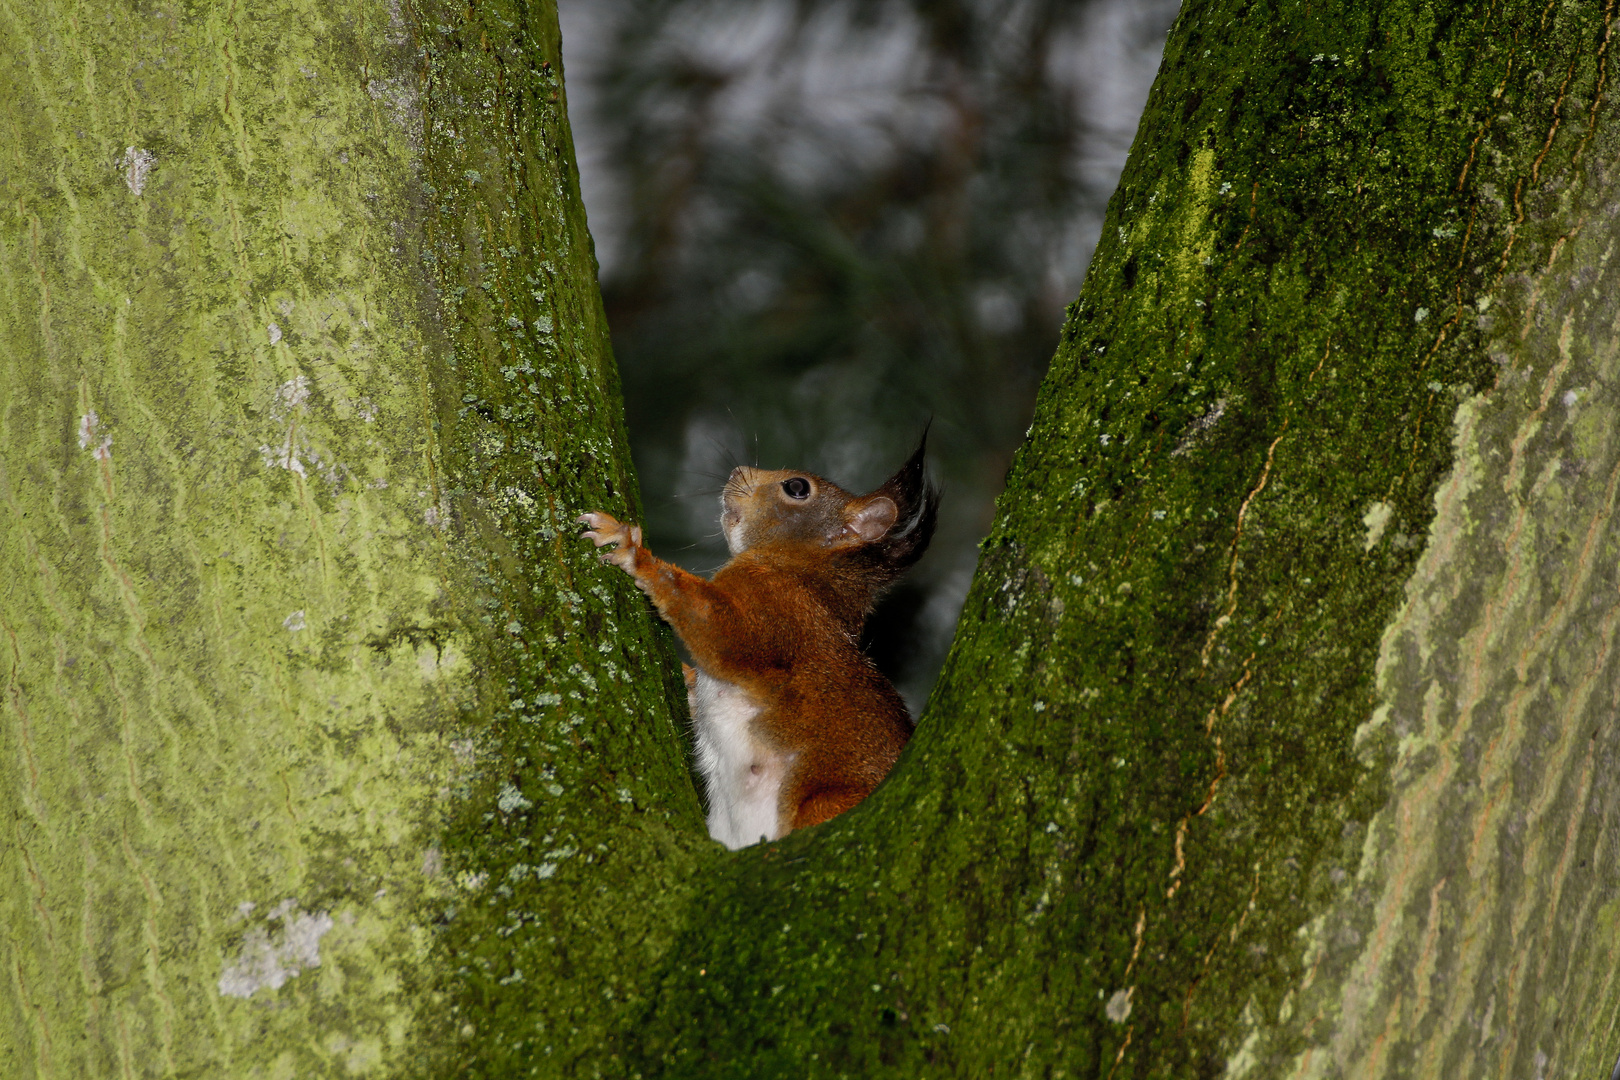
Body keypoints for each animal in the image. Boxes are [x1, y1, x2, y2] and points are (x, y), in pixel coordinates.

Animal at [579, 437, 939, 841]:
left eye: (797, 487)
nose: (736, 472)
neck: (797, 572)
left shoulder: (776, 612)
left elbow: (719, 633)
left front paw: (632, 550)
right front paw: (687, 676)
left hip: (823, 803)